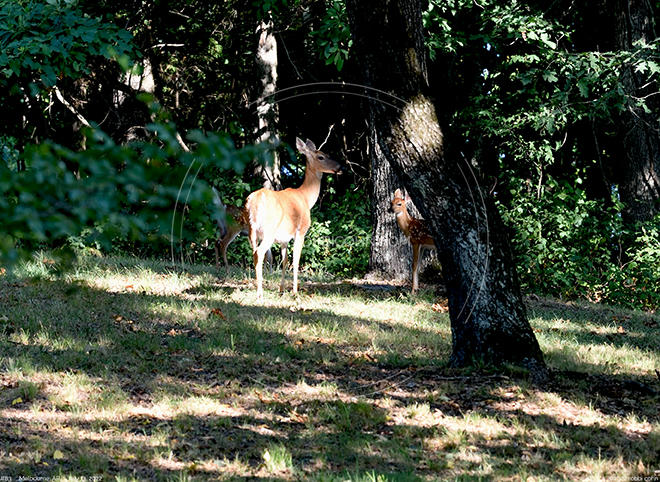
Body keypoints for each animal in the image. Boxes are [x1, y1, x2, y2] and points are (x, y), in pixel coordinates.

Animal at [246, 137, 343, 298]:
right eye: (321, 156)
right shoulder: (301, 230)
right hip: (269, 230)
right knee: (259, 253)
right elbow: (296, 259)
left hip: (251, 231)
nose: (340, 167)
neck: (306, 198)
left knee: (254, 254)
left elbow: (285, 260)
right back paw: (260, 294)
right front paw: (295, 291)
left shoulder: (284, 238)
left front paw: (281, 289)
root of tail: (255, 202)